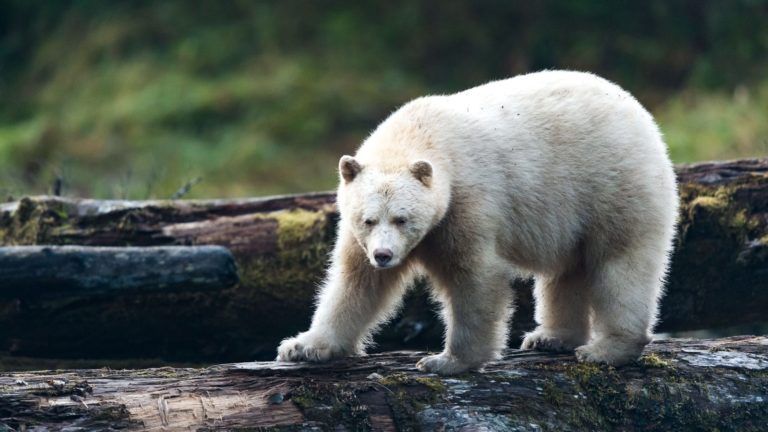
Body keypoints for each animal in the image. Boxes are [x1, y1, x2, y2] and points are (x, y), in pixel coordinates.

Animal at [276, 71, 680, 374]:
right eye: (368, 219)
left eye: (403, 219)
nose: (384, 255)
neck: (419, 134)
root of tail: (639, 111)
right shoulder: (360, 234)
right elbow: (356, 282)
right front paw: (302, 346)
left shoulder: (467, 201)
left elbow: (475, 276)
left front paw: (446, 361)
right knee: (567, 269)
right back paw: (551, 337)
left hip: (614, 183)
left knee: (620, 263)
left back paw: (606, 349)